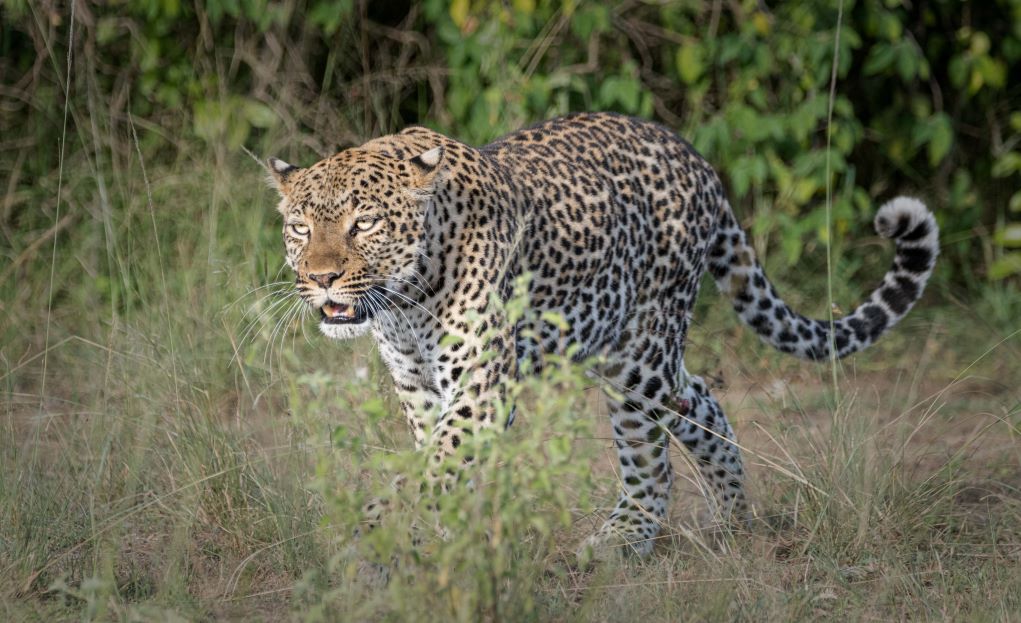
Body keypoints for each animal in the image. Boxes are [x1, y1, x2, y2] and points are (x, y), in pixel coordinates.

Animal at [265, 111, 939, 559]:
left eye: (364, 223)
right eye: (299, 228)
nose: (321, 279)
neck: (405, 301)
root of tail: (697, 159)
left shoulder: (483, 386)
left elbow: (437, 464)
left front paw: (374, 534)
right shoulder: (418, 386)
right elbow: (441, 466)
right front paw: (446, 540)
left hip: (638, 358)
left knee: (653, 458)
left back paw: (623, 538)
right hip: (641, 351)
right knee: (699, 398)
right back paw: (734, 516)